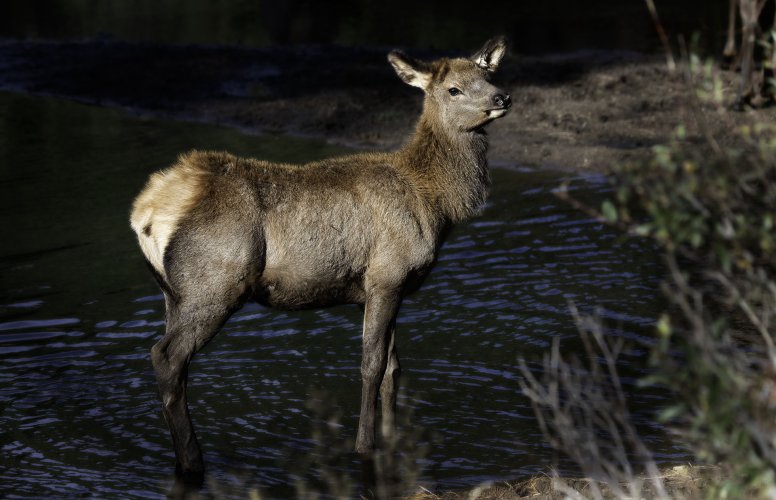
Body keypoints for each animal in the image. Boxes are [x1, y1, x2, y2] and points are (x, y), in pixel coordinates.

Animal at [130, 37, 512, 482]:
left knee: (177, 364)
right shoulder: (386, 274)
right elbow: (371, 365)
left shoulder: (385, 288)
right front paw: (364, 448)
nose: (503, 97)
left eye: (489, 75)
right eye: (454, 89)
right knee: (167, 356)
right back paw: (192, 463)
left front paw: (394, 445)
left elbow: (393, 370)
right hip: (214, 283)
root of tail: (146, 211)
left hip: (173, 294)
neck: (436, 202)